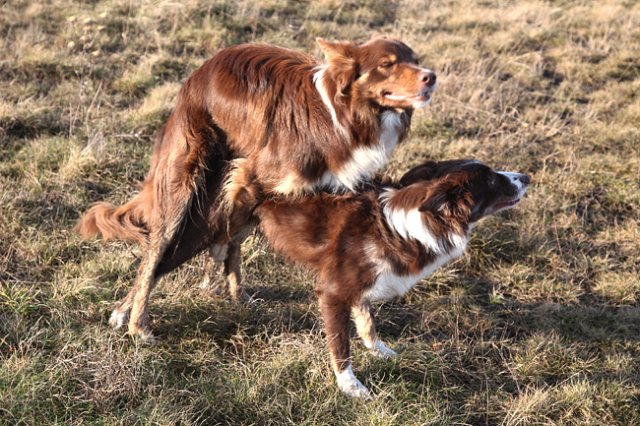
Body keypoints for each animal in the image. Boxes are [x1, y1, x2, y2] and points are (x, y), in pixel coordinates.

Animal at [74, 37, 436, 342]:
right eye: (387, 64)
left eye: (415, 60)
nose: (430, 77)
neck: (344, 114)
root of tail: (195, 78)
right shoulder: (252, 176)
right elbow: (202, 246)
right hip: (184, 190)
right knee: (156, 251)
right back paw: (137, 321)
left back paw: (232, 296)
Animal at [245, 160, 528, 400]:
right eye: (490, 180)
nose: (527, 177)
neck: (402, 229)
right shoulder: (333, 294)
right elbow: (340, 346)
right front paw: (350, 386)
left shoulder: (360, 288)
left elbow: (367, 322)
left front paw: (381, 352)